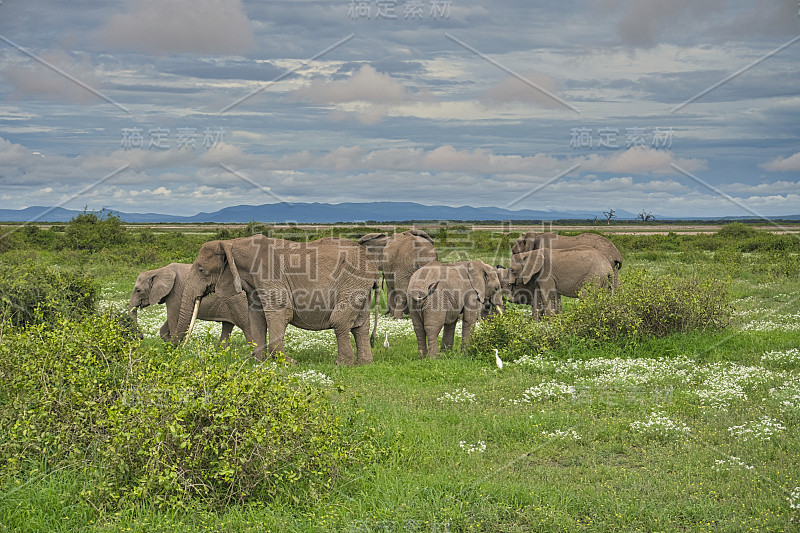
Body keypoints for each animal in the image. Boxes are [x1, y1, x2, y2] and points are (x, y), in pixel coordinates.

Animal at [128, 262, 266, 354]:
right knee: (227, 325)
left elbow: (173, 317)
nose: (140, 337)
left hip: (239, 302)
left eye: (138, 290)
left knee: (246, 326)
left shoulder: (175, 293)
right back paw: (219, 353)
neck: (159, 271)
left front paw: (173, 349)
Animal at [176, 237, 382, 366]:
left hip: (352, 281)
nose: (178, 350)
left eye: (201, 270)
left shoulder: (268, 275)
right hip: (360, 287)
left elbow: (280, 312)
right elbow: (256, 317)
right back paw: (364, 364)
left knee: (340, 321)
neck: (232, 244)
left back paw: (341, 364)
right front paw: (257, 362)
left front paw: (290, 363)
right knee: (360, 326)